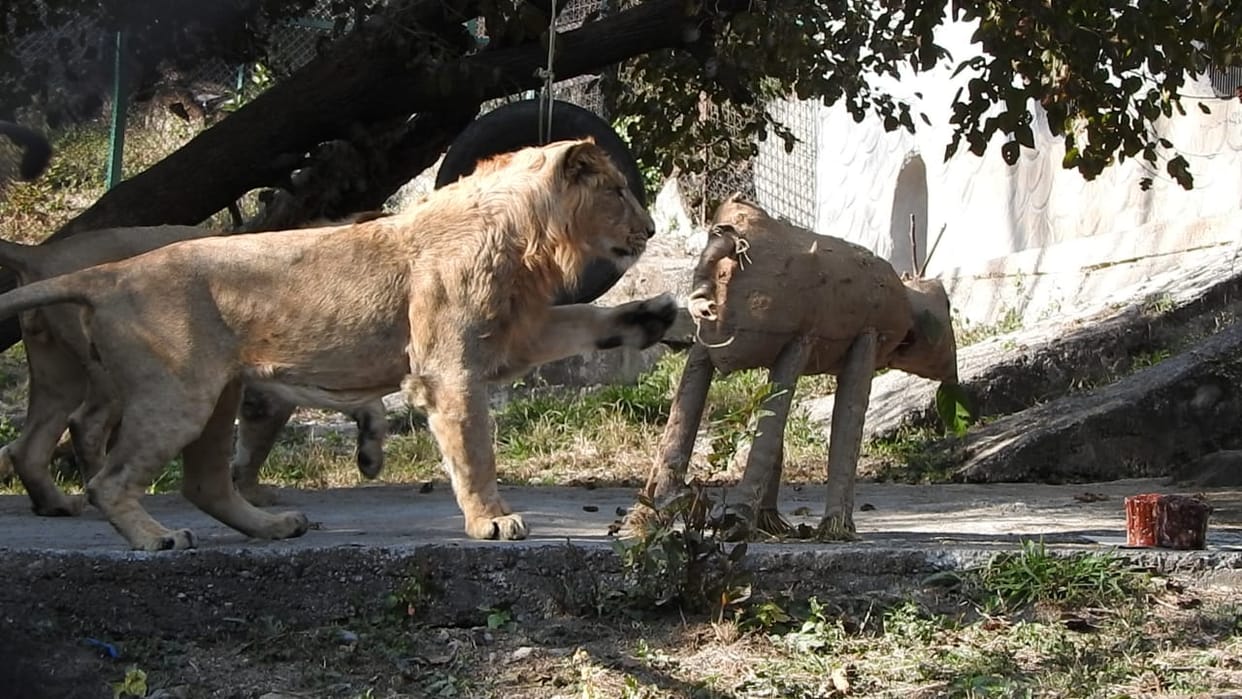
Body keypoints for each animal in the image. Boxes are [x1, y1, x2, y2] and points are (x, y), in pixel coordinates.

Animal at [0, 215, 390, 517]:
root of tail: (42, 253)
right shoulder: (273, 388)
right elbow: (258, 443)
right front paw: (252, 492)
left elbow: (366, 403)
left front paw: (369, 454)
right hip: (112, 376)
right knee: (87, 426)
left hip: (58, 373)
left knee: (28, 447)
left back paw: (56, 504)